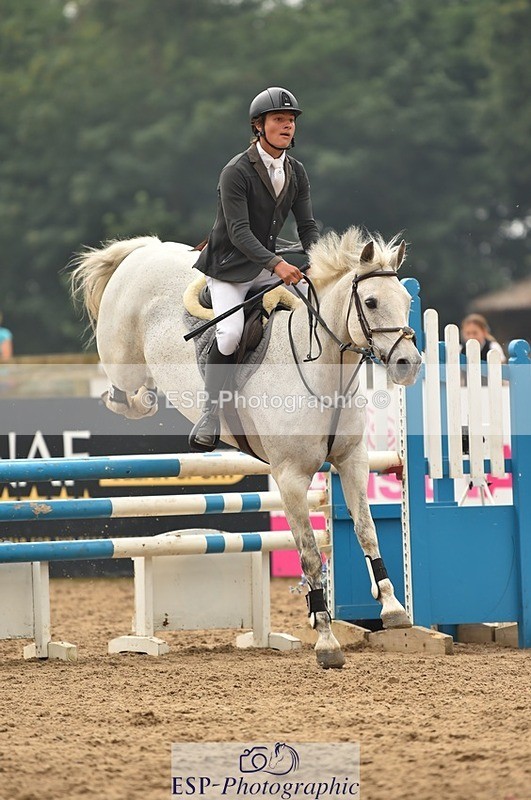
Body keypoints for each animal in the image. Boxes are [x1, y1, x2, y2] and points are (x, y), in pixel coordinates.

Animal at [70, 226, 422, 669]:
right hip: (122, 358)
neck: (322, 374)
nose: (409, 365)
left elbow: (366, 530)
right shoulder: (290, 477)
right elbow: (309, 553)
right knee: (123, 395)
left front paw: (392, 608)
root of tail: (146, 249)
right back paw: (146, 401)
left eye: (407, 301)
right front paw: (327, 641)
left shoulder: (351, 461)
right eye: (371, 302)